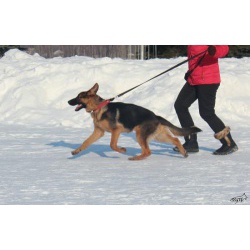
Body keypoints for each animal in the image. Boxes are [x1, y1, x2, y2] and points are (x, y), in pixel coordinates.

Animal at [68, 83, 201, 160]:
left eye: (79, 96)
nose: (68, 101)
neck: (99, 107)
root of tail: (156, 116)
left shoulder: (116, 130)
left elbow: (112, 145)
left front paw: (122, 150)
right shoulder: (98, 132)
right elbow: (86, 142)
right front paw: (76, 151)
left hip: (140, 135)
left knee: (148, 151)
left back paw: (135, 158)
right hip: (158, 136)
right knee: (175, 139)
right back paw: (184, 152)